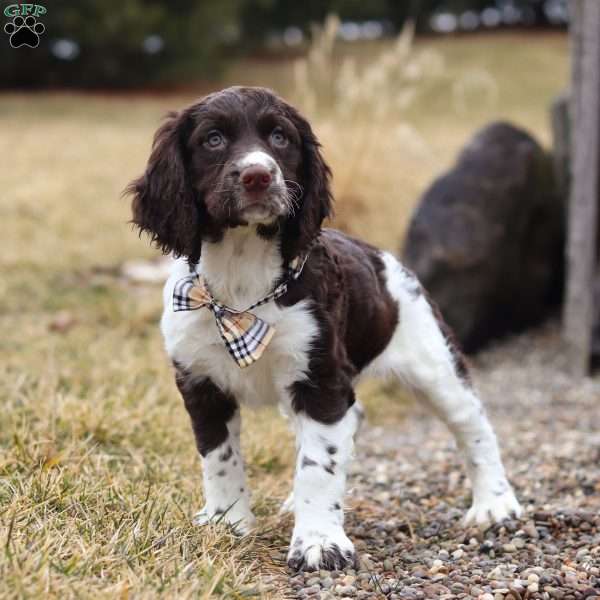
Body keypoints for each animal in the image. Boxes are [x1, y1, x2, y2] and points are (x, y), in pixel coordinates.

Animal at [126, 85, 520, 572]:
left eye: (280, 137)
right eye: (213, 140)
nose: (257, 175)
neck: (242, 285)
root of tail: (383, 257)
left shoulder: (320, 381)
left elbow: (319, 466)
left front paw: (319, 543)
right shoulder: (201, 383)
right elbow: (219, 456)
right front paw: (227, 522)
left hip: (435, 367)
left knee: (474, 426)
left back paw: (495, 505)